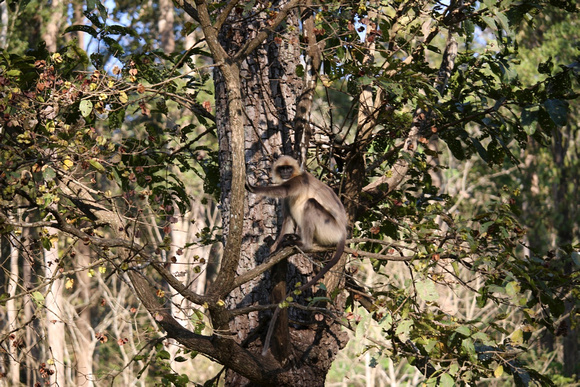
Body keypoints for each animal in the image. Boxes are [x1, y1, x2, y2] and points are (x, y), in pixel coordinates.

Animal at [246, 155, 346, 292]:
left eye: (288, 168)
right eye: (282, 168)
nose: (285, 173)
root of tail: (343, 233)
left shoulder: (299, 181)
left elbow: (283, 190)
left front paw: (253, 188)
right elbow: (288, 220)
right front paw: (275, 250)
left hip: (330, 227)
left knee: (310, 203)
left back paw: (304, 244)